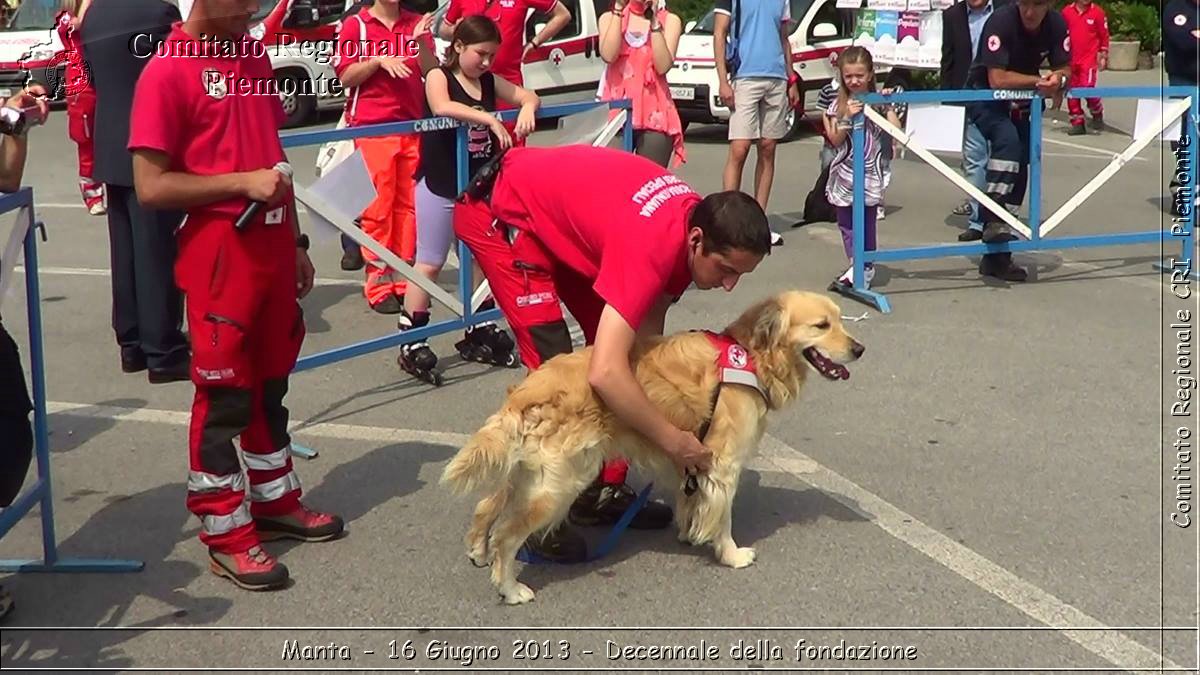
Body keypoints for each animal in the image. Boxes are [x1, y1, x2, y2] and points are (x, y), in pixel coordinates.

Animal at [441, 285, 864, 600]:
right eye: (822, 325)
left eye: (840, 319)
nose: (859, 349)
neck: (752, 356)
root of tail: (528, 391)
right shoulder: (723, 463)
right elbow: (723, 516)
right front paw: (731, 555)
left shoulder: (690, 458)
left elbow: (691, 500)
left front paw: (689, 532)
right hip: (559, 483)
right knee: (507, 534)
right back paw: (510, 587)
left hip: (530, 473)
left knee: (486, 505)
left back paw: (478, 551)